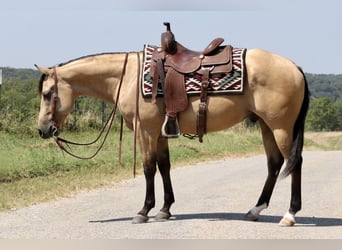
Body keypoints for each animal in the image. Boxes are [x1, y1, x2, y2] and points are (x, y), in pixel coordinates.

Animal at [34, 23, 310, 227]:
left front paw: (143, 211)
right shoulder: (160, 133)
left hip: (281, 127)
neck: (130, 76)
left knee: (294, 162)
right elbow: (164, 166)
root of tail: (295, 67)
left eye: (47, 94)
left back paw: (290, 214)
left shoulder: (145, 131)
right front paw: (165, 209)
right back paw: (255, 209)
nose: (43, 129)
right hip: (266, 126)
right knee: (274, 164)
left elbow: (148, 168)